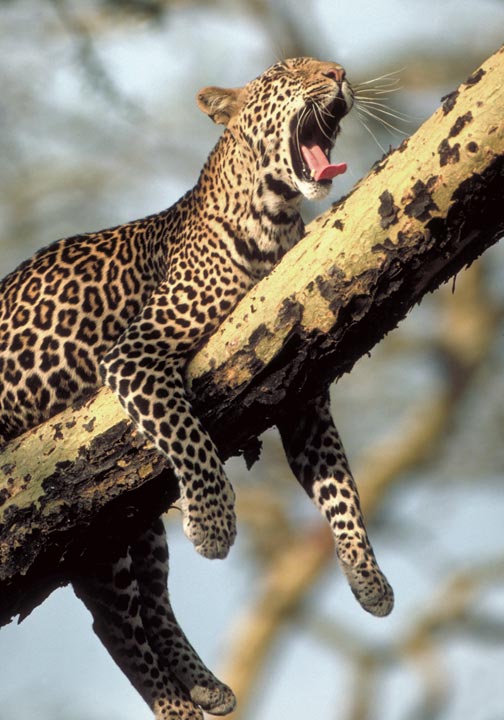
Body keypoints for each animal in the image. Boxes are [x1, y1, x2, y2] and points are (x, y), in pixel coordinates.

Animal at [0, 57, 394, 720]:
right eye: (289, 70)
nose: (339, 72)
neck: (275, 214)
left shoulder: (303, 392)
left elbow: (341, 487)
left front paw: (369, 580)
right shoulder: (134, 354)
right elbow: (189, 437)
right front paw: (213, 526)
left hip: (120, 517)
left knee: (142, 601)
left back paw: (206, 685)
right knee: (112, 620)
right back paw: (181, 706)